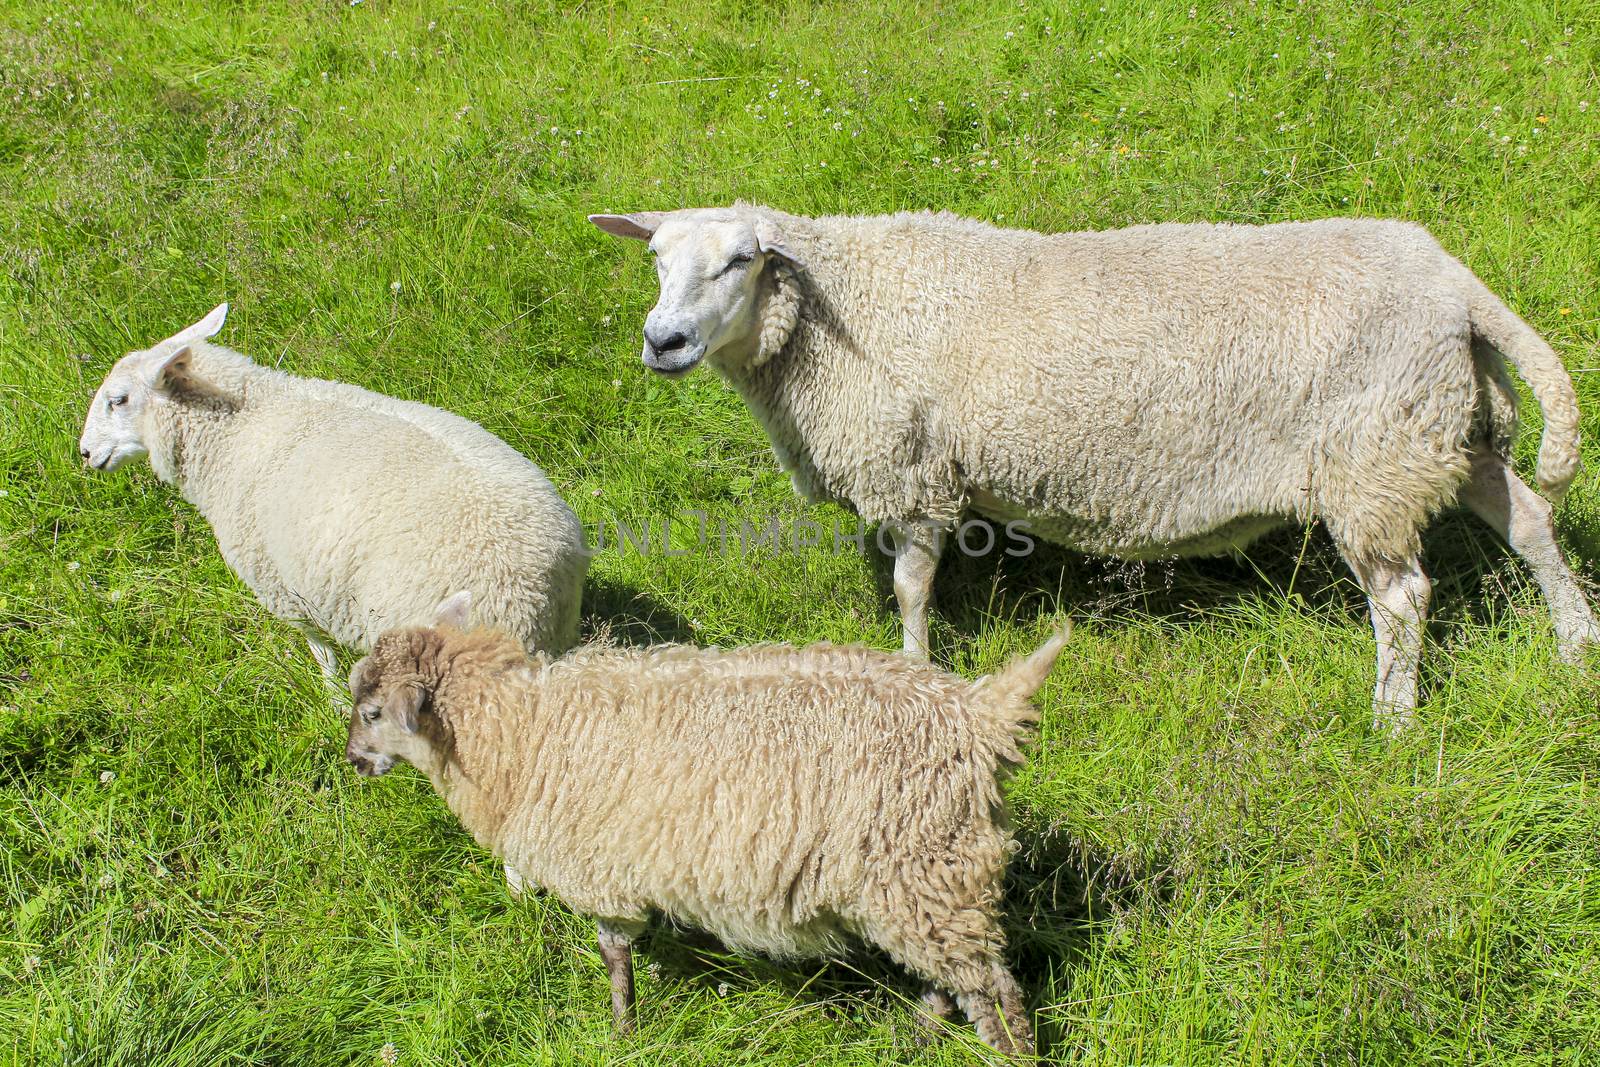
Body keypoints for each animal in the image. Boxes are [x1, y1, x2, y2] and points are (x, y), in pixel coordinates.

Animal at [75, 300, 588, 684]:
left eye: (118, 400)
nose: (84, 453)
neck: (235, 427)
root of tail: (538, 584)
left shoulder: (284, 584)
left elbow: (319, 649)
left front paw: (333, 695)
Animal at [344, 598, 1068, 1055]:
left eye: (374, 711)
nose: (353, 760)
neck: (520, 727)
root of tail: (980, 716)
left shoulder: (601, 867)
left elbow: (614, 955)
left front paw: (621, 1033)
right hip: (929, 878)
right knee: (954, 980)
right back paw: (916, 1039)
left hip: (925, 863)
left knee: (995, 990)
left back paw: (1003, 1052)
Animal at [592, 206, 1600, 729]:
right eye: (654, 257)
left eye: (742, 260)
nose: (662, 341)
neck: (838, 310)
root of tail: (1454, 283)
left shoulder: (915, 469)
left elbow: (914, 586)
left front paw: (916, 669)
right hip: (1437, 429)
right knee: (1530, 521)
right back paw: (1575, 642)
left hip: (1371, 456)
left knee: (1402, 596)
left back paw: (1392, 716)